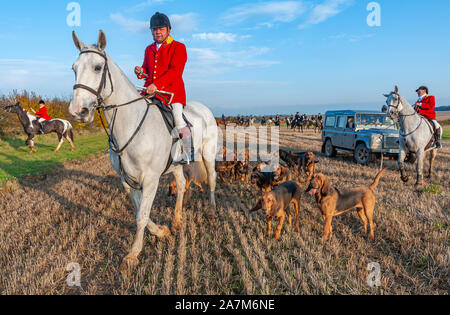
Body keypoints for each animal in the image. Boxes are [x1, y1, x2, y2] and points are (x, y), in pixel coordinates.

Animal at [67, 30, 219, 276]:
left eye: (98, 67)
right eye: (74, 67)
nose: (77, 111)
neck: (130, 124)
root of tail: (204, 108)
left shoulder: (150, 178)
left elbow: (141, 216)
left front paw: (132, 255)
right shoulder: (127, 179)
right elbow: (141, 212)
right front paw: (162, 231)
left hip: (208, 154)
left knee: (212, 179)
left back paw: (212, 211)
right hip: (176, 165)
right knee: (182, 186)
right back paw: (177, 222)